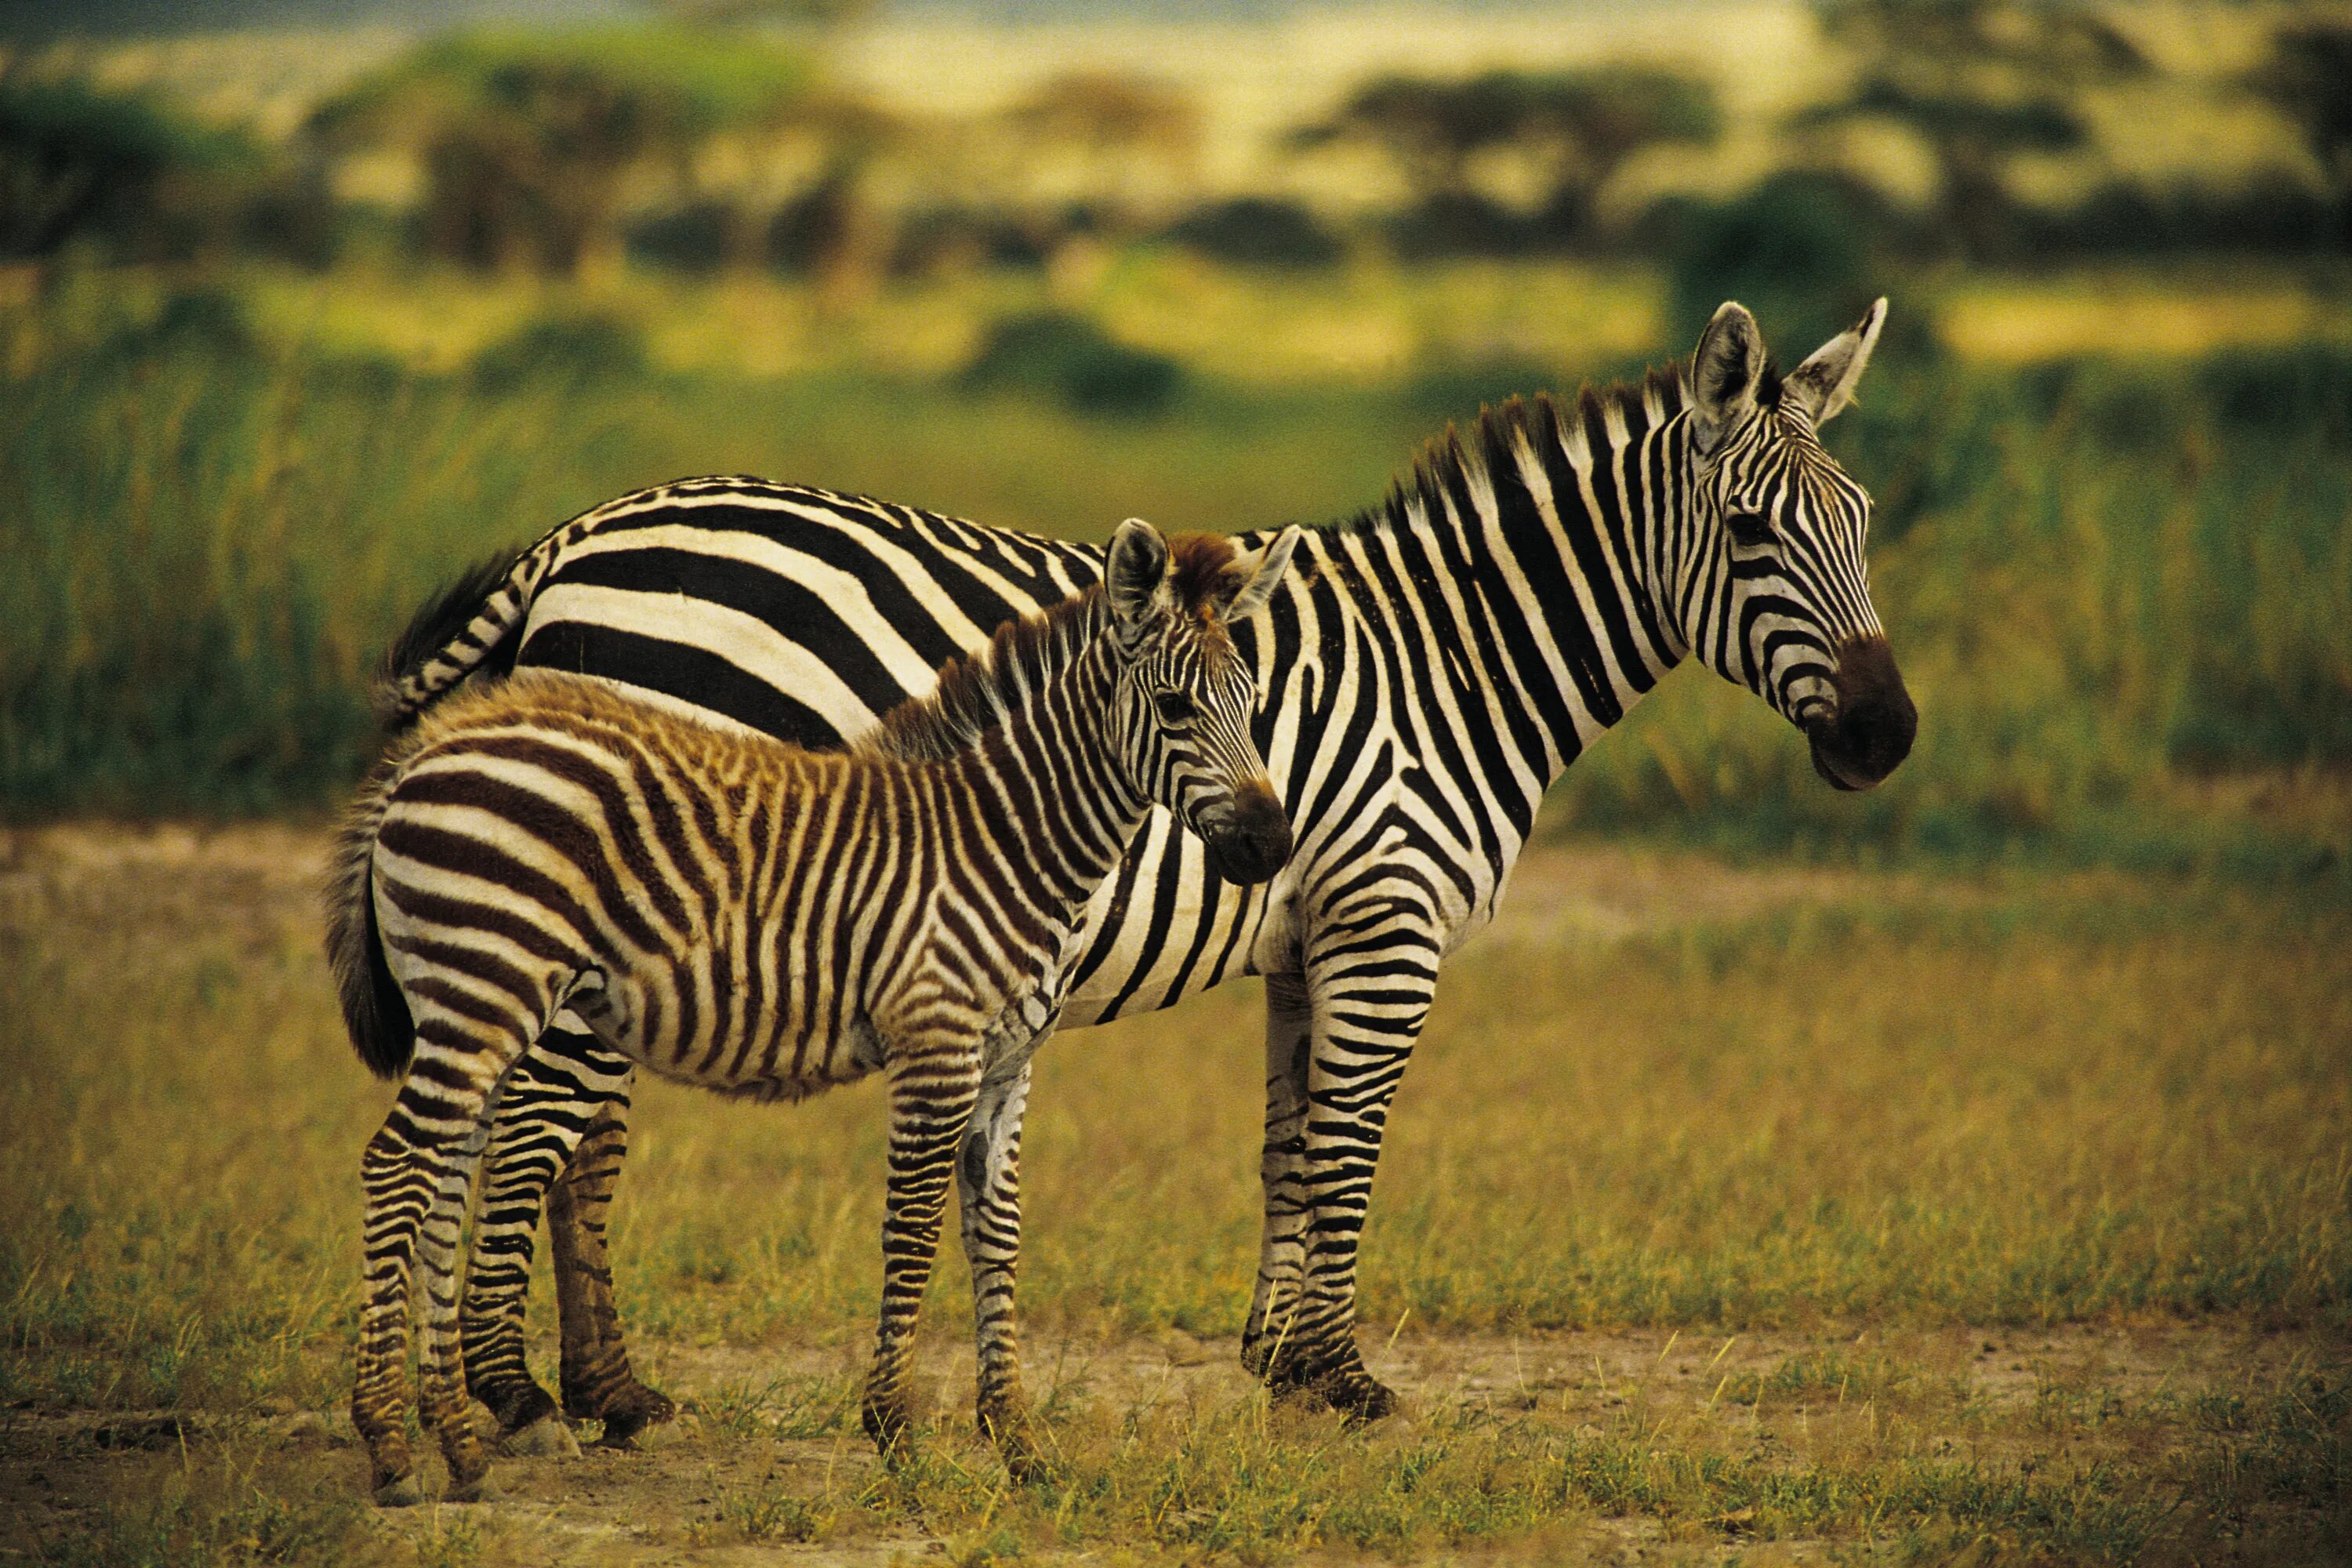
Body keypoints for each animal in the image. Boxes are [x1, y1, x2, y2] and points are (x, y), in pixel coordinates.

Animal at [327, 521, 1308, 1504]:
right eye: (1175, 706)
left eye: (1254, 703)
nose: (1270, 843)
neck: (1006, 839)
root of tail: (429, 752)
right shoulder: (935, 1045)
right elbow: (912, 1230)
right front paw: (897, 1433)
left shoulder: (1008, 1061)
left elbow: (997, 1235)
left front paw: (1020, 1441)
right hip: (485, 984)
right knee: (396, 1167)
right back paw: (393, 1447)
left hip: (477, 1001)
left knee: (445, 1172)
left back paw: (457, 1443)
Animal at [381, 293, 1910, 1448]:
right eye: (1755, 535)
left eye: (1868, 521)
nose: (1888, 736)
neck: (1451, 662)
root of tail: (579, 535)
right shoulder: (1389, 916)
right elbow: (1353, 1143)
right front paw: (1346, 1378)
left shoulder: (1308, 929)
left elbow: (1291, 1144)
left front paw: (1283, 1365)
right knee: (536, 1121)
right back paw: (515, 1398)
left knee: (572, 1128)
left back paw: (610, 1393)